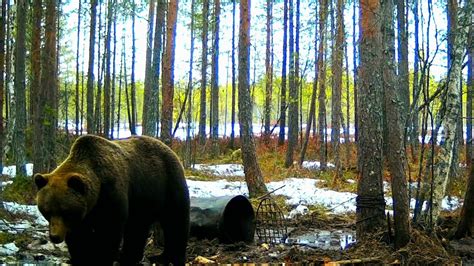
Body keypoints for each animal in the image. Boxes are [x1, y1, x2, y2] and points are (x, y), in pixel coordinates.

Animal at [33, 136, 190, 264]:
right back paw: (133, 257)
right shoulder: (83, 216)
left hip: (168, 184)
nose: (55, 236)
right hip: (143, 200)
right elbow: (78, 238)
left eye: (65, 211)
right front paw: (81, 258)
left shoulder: (111, 195)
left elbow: (109, 231)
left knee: (176, 220)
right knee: (138, 226)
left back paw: (171, 257)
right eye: (47, 211)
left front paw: (103, 258)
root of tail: (169, 148)